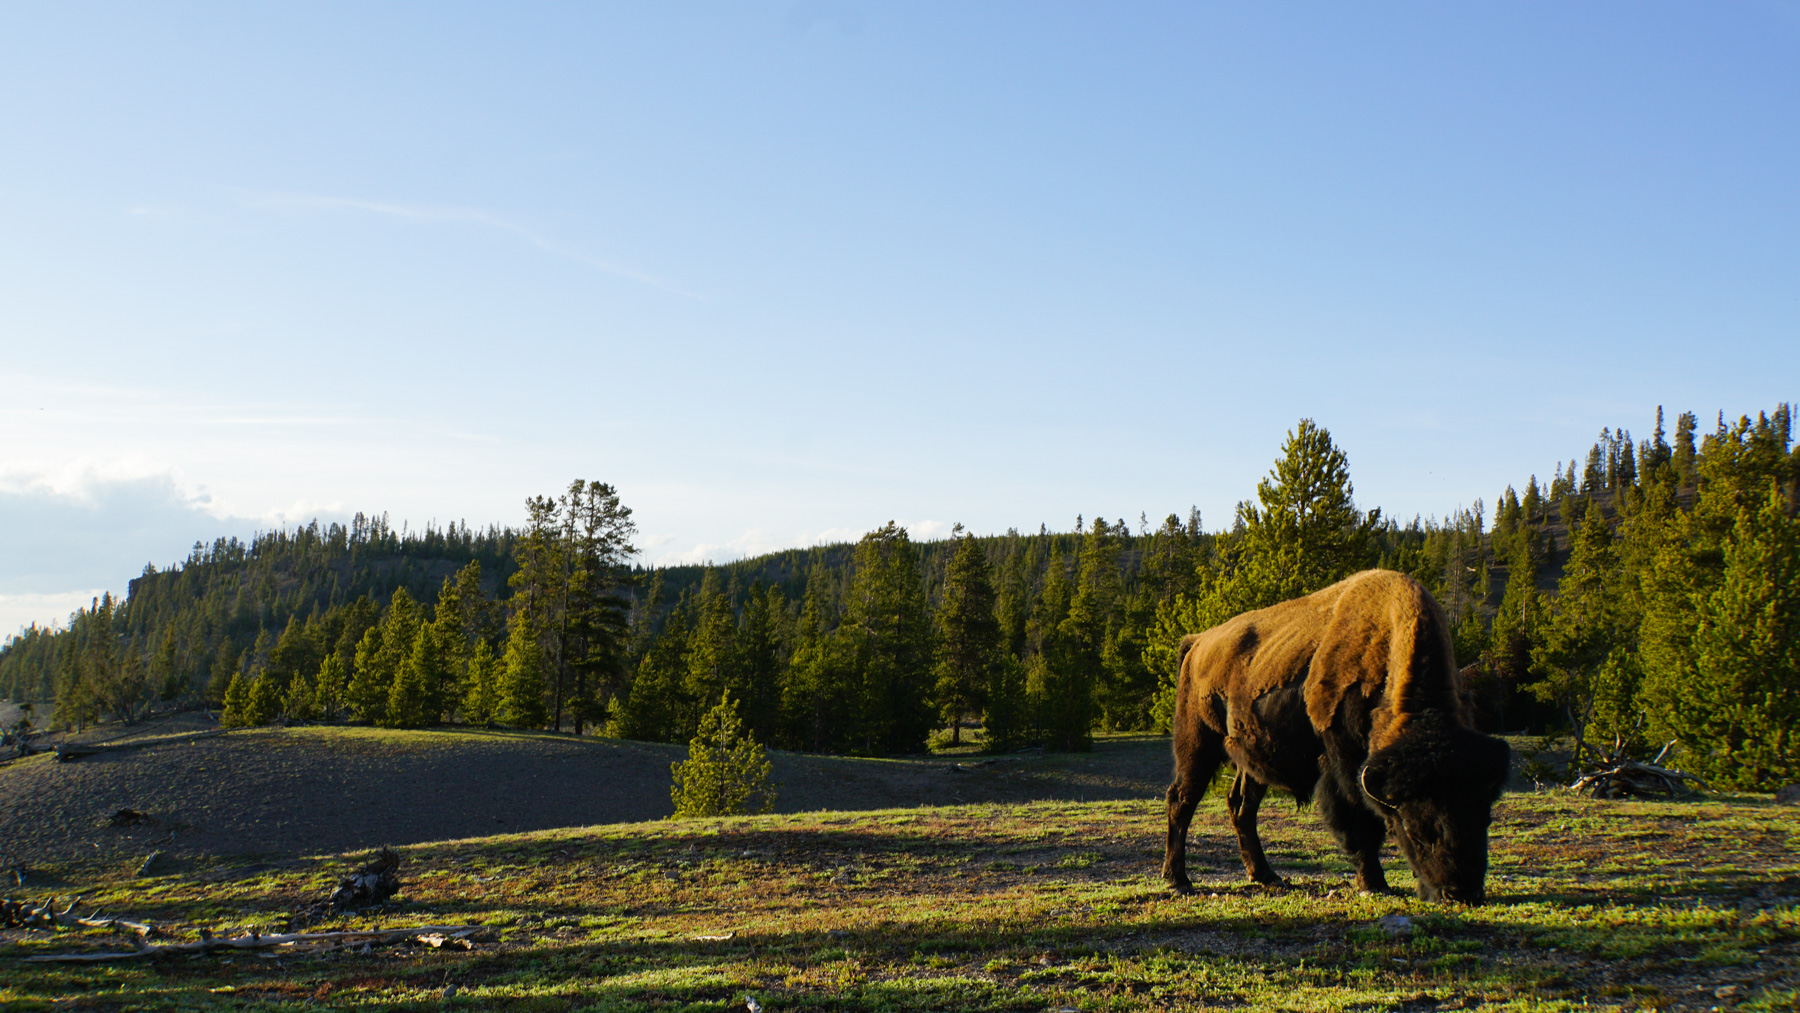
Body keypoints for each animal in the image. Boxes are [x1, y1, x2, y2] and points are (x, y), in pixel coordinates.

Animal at [1159, 572, 1512, 903]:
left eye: (1485, 817)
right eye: (1415, 829)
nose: (1461, 892)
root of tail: (1199, 642)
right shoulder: (1344, 761)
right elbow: (1360, 821)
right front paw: (1373, 884)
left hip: (1253, 758)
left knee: (1242, 807)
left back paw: (1266, 876)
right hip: (1197, 745)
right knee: (1182, 800)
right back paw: (1178, 880)